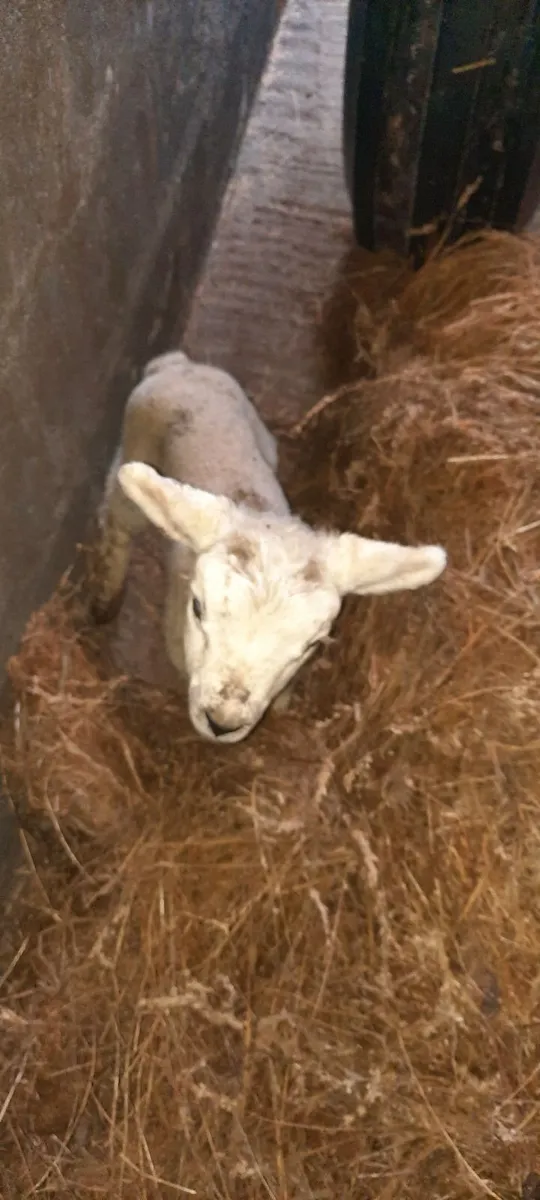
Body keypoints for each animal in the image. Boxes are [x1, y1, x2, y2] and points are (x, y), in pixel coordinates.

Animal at [90, 350, 446, 743]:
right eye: (197, 607)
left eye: (312, 644)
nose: (222, 723)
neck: (258, 509)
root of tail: (178, 365)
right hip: (136, 453)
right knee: (117, 518)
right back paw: (106, 599)